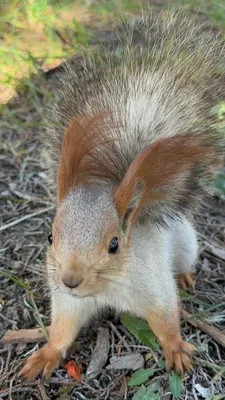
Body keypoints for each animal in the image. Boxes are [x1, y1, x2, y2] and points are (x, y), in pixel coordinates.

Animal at [20, 9, 224, 382]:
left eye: (114, 244)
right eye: (50, 236)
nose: (70, 280)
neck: (105, 289)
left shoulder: (154, 286)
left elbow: (166, 319)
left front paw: (176, 349)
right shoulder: (69, 302)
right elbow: (62, 329)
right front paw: (47, 353)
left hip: (186, 242)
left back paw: (186, 274)